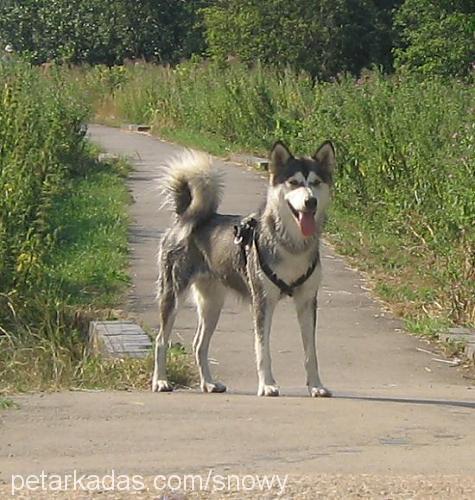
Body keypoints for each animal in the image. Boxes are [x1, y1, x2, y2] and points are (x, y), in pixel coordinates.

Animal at [152, 141, 334, 398]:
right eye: (294, 182)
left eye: (316, 182)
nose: (311, 202)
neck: (293, 246)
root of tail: (185, 217)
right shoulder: (262, 300)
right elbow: (262, 349)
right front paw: (267, 384)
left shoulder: (307, 300)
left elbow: (311, 353)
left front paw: (316, 386)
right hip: (173, 293)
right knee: (161, 340)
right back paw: (160, 381)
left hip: (212, 304)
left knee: (199, 345)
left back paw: (209, 383)